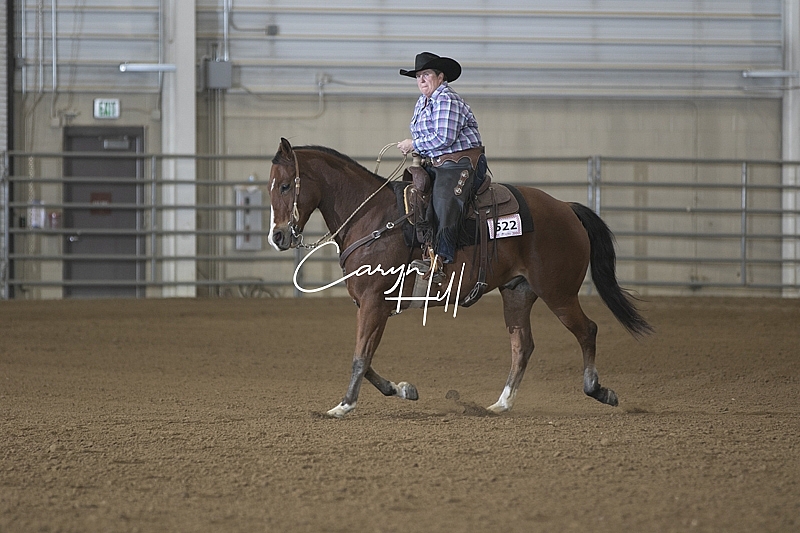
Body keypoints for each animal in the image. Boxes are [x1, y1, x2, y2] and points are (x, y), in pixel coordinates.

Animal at [268, 138, 652, 418]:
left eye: (286, 186)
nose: (278, 236)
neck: (372, 218)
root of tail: (566, 208)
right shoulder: (372, 305)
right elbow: (368, 357)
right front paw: (403, 389)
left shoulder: (373, 303)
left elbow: (360, 356)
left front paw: (343, 406)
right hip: (517, 292)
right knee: (522, 345)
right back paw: (501, 404)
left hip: (559, 292)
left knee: (587, 331)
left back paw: (599, 390)